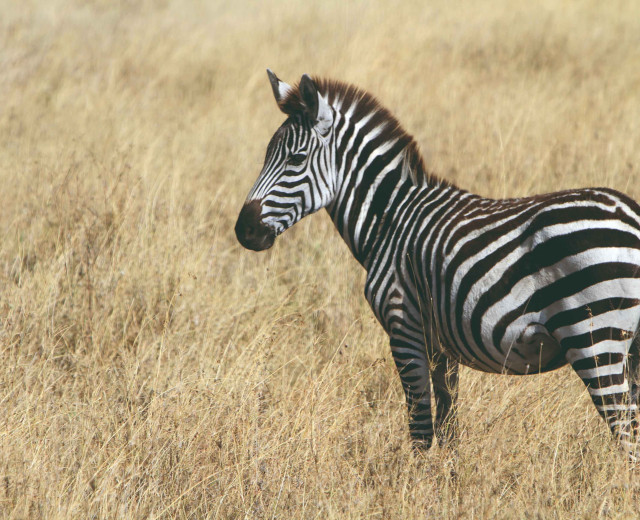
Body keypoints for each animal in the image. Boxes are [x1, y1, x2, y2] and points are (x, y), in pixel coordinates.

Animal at [235, 70, 640, 460]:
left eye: (296, 159)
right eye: (266, 155)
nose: (244, 231)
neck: (390, 218)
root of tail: (630, 215)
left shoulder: (404, 326)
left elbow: (420, 428)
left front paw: (413, 483)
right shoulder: (440, 344)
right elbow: (448, 427)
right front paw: (449, 480)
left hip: (594, 338)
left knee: (626, 438)